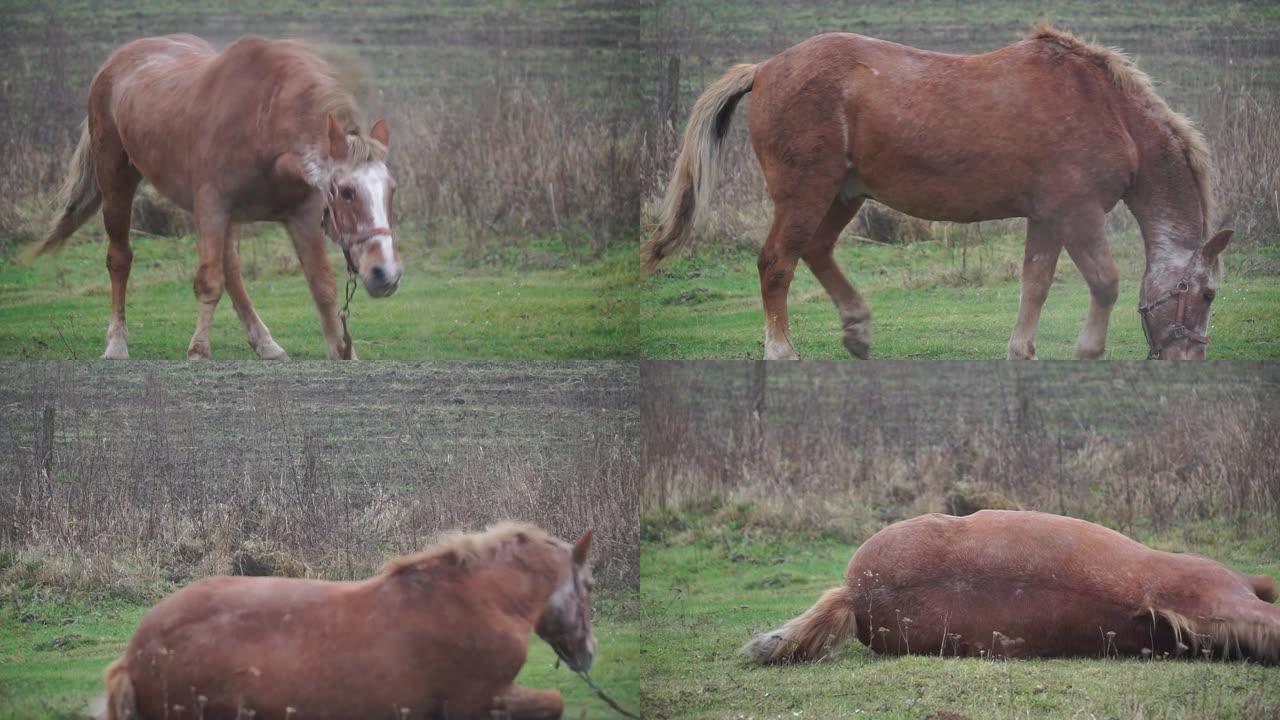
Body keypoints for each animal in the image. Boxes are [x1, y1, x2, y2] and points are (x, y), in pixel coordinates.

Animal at [30, 33, 401, 358]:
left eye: (391, 189)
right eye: (348, 191)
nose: (386, 274)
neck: (262, 119)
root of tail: (115, 62)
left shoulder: (300, 215)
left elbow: (322, 286)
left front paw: (343, 352)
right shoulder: (211, 207)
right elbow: (208, 281)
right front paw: (198, 351)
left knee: (232, 270)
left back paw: (266, 344)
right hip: (116, 186)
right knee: (120, 259)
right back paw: (116, 345)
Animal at [96, 520, 593, 717]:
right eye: (589, 585)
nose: (589, 653)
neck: (480, 599)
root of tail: (133, 656)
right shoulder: (477, 701)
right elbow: (555, 702)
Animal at [645, 25, 1233, 361]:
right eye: (1206, 295)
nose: (1191, 360)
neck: (1105, 108)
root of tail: (765, 68)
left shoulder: (1046, 218)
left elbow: (1035, 284)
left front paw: (1022, 350)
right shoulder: (1077, 214)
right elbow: (1106, 283)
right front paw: (1088, 350)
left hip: (842, 196)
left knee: (815, 251)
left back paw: (857, 330)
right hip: (805, 194)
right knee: (776, 264)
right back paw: (782, 351)